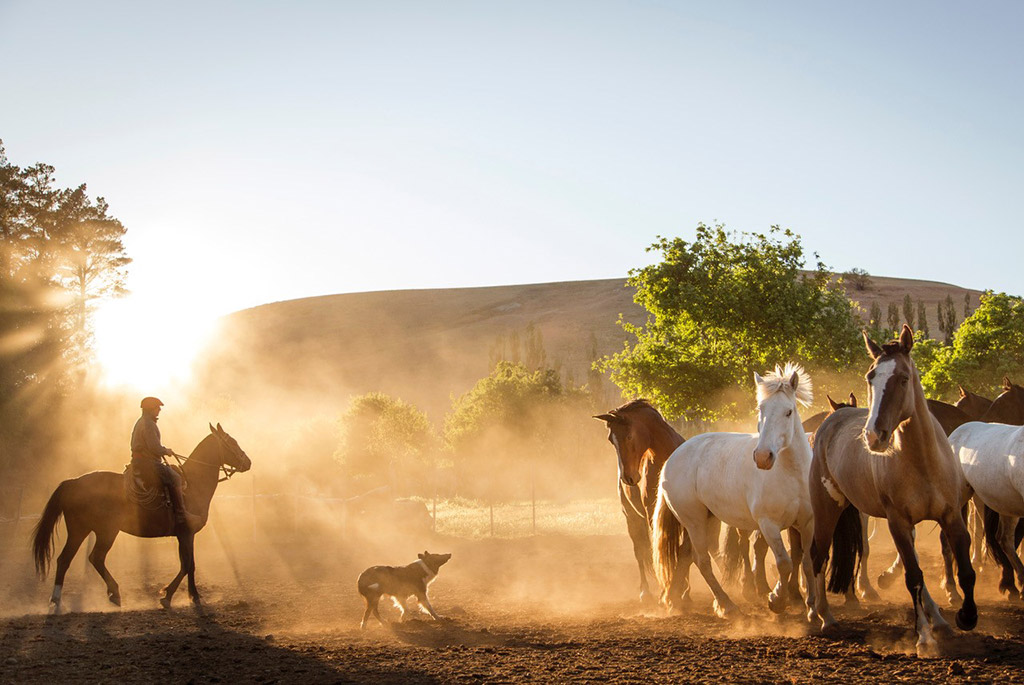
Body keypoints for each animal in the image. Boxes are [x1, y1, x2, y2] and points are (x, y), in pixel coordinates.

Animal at [33, 421, 249, 610]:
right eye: (232, 442)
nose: (248, 462)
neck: (192, 484)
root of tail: (73, 482)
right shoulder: (186, 533)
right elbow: (188, 565)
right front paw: (175, 596)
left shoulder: (185, 535)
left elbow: (188, 565)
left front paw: (185, 595)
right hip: (98, 531)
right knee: (85, 558)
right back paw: (88, 596)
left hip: (89, 531)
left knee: (79, 559)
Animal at [655, 362, 815, 618]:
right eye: (761, 409)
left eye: (789, 411)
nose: (762, 457)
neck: (791, 473)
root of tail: (673, 458)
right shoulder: (768, 525)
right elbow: (784, 563)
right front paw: (776, 599)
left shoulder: (807, 522)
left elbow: (806, 560)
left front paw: (810, 605)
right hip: (694, 521)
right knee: (701, 560)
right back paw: (726, 604)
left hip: (708, 519)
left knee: (685, 555)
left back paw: (675, 600)